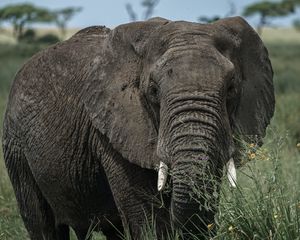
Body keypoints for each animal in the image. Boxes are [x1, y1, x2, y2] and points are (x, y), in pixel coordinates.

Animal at [1, 16, 274, 240]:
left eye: (231, 89)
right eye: (153, 91)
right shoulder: (114, 129)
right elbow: (146, 216)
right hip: (15, 145)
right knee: (42, 222)